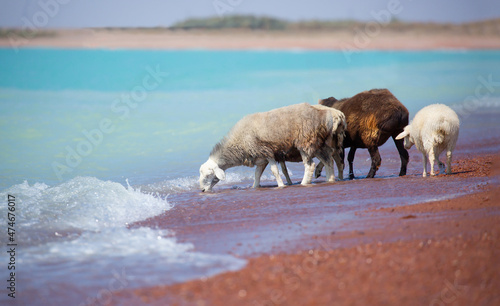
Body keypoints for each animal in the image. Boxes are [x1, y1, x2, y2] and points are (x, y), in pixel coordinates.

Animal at [197, 103, 346, 191]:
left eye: (208, 175)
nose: (202, 190)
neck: (239, 142)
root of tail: (331, 114)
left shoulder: (267, 152)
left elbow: (275, 171)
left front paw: (280, 185)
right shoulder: (260, 158)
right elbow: (257, 174)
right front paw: (255, 187)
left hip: (305, 141)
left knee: (310, 165)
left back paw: (305, 182)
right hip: (319, 144)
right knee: (328, 161)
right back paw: (330, 180)